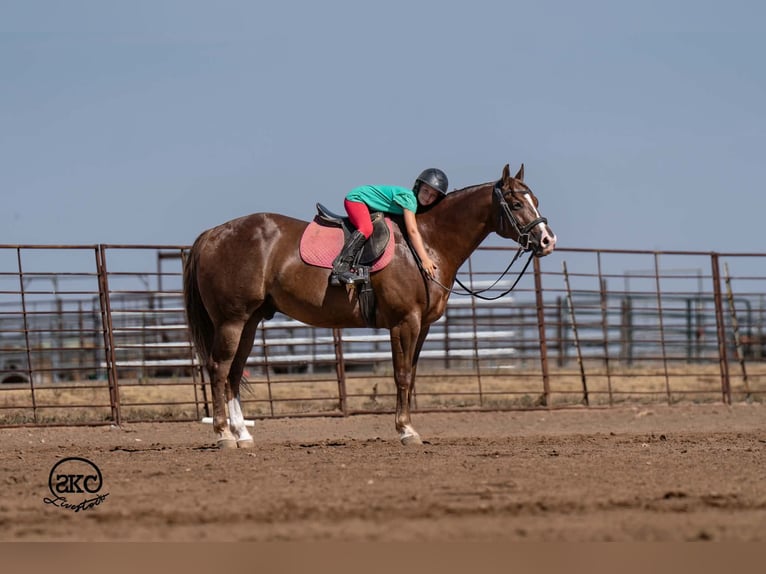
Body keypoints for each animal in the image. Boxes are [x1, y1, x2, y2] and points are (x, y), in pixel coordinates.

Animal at [183, 163, 556, 448]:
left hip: (249, 322)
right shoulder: (404, 322)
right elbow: (402, 375)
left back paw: (243, 435)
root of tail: (214, 233)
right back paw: (224, 436)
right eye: (516, 203)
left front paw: (408, 426)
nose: (547, 241)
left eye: (536, 200)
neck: (426, 243)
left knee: (233, 372)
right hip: (231, 321)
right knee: (219, 369)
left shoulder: (422, 327)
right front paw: (406, 431)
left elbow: (411, 375)